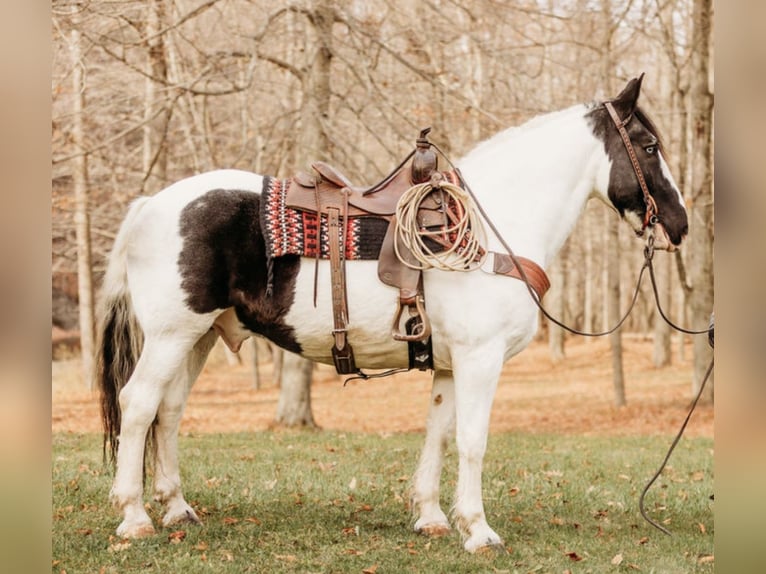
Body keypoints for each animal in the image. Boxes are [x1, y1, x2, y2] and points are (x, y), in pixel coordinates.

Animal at [96, 75, 688, 552]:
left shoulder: (449, 364)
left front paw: (431, 517)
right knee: (140, 403)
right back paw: (134, 516)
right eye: (650, 145)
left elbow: (440, 433)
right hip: (172, 335)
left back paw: (177, 508)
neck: (489, 229)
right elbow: (472, 440)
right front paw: (480, 531)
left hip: (198, 337)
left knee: (169, 411)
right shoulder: (480, 359)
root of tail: (150, 205)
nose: (679, 223)